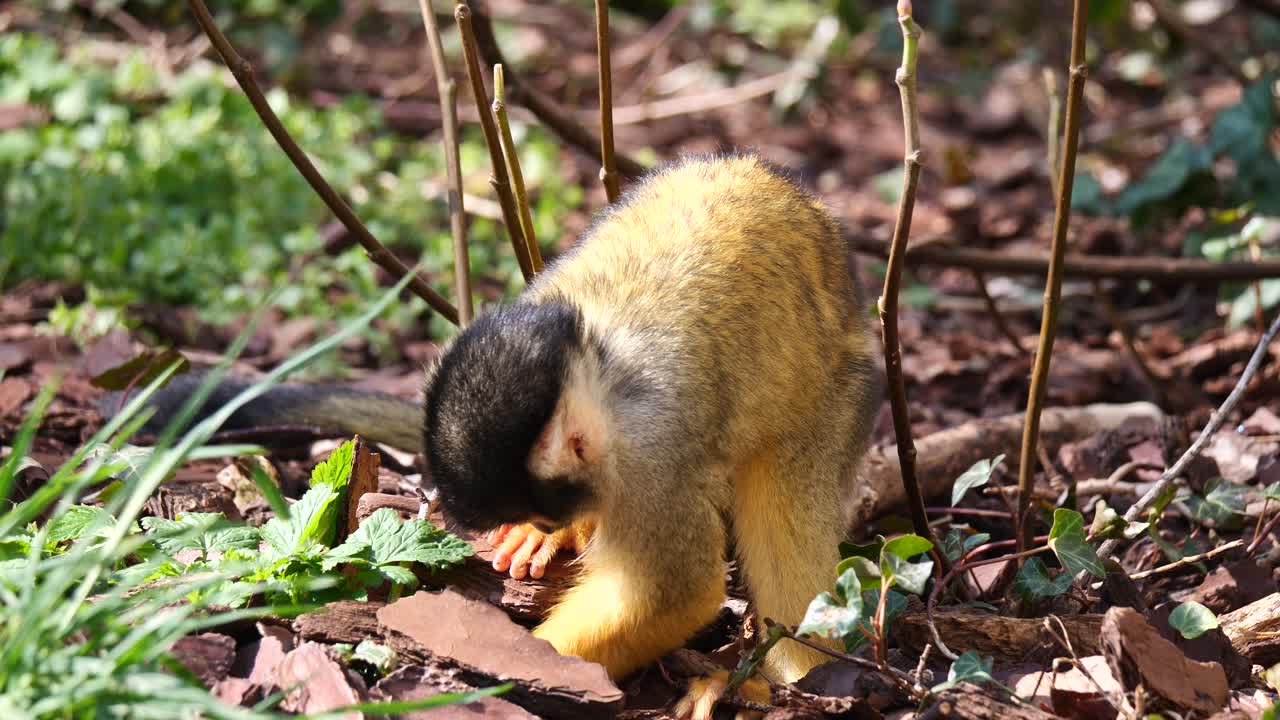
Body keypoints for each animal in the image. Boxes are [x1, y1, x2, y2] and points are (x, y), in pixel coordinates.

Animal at [123, 153, 881, 719]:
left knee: (787, 514)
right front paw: (556, 545)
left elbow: (676, 592)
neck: (595, 369)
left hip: (839, 398)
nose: (552, 520)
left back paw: (786, 678)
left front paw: (510, 674)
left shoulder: (650, 452)